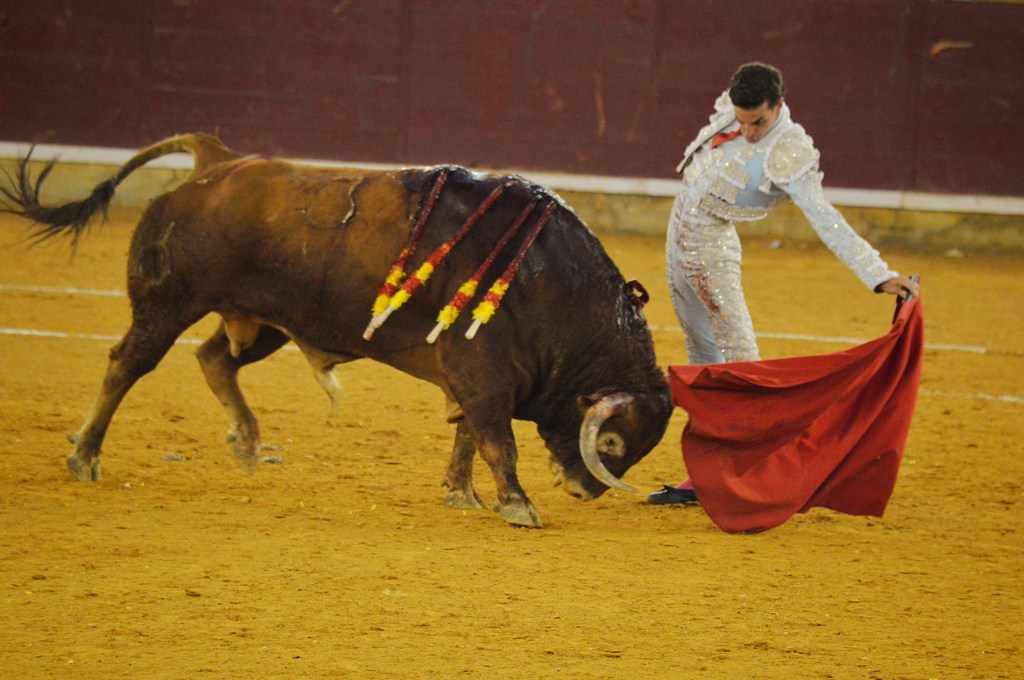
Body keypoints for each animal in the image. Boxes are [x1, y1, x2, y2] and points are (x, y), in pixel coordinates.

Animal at [0, 133, 673, 527]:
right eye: (612, 443)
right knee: (128, 363)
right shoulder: (485, 375)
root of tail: (218, 161)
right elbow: (495, 440)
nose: (582, 491)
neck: (555, 289)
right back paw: (84, 455)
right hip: (168, 303)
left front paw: (462, 493)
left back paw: (247, 442)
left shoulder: (476, 376)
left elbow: (467, 435)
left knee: (215, 358)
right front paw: (518, 505)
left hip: (263, 321)